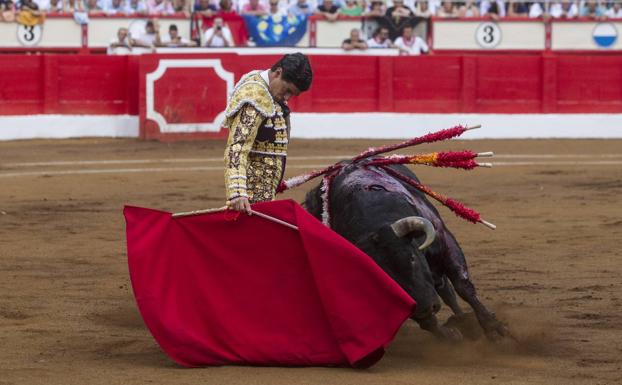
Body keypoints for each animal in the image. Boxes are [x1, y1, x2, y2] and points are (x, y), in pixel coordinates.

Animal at [304, 160, 512, 340]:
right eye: (385, 281)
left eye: (411, 258)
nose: (426, 308)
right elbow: (426, 322)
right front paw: (450, 335)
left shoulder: (443, 238)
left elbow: (463, 287)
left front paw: (494, 328)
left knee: (447, 290)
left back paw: (464, 320)